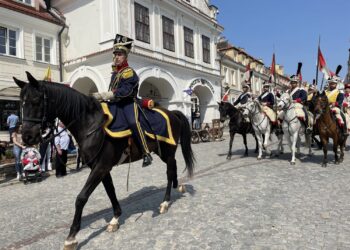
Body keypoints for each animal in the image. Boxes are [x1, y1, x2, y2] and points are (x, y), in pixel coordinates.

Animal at [13, 72, 196, 250]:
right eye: (22, 103)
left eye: (36, 101)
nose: (27, 137)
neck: (90, 124)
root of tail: (172, 113)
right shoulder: (101, 167)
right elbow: (110, 191)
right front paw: (115, 219)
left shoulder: (100, 167)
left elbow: (81, 198)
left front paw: (72, 237)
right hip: (162, 152)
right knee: (173, 167)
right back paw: (177, 186)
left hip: (167, 150)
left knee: (170, 171)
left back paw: (165, 202)